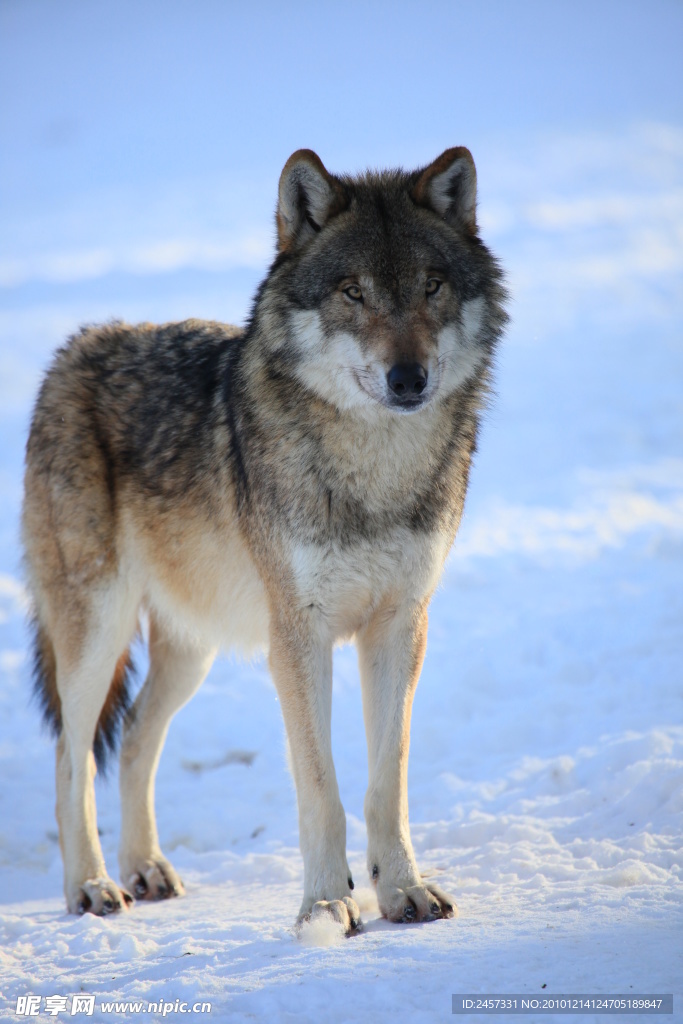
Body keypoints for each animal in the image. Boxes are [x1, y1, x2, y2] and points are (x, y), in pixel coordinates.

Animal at [22, 146, 507, 937]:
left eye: (431, 287)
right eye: (353, 293)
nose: (408, 378)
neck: (373, 469)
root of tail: (74, 348)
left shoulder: (399, 626)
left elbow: (387, 782)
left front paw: (402, 891)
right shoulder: (298, 637)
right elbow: (321, 787)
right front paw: (325, 906)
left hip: (192, 647)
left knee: (134, 737)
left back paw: (146, 869)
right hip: (97, 632)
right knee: (73, 754)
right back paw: (92, 885)